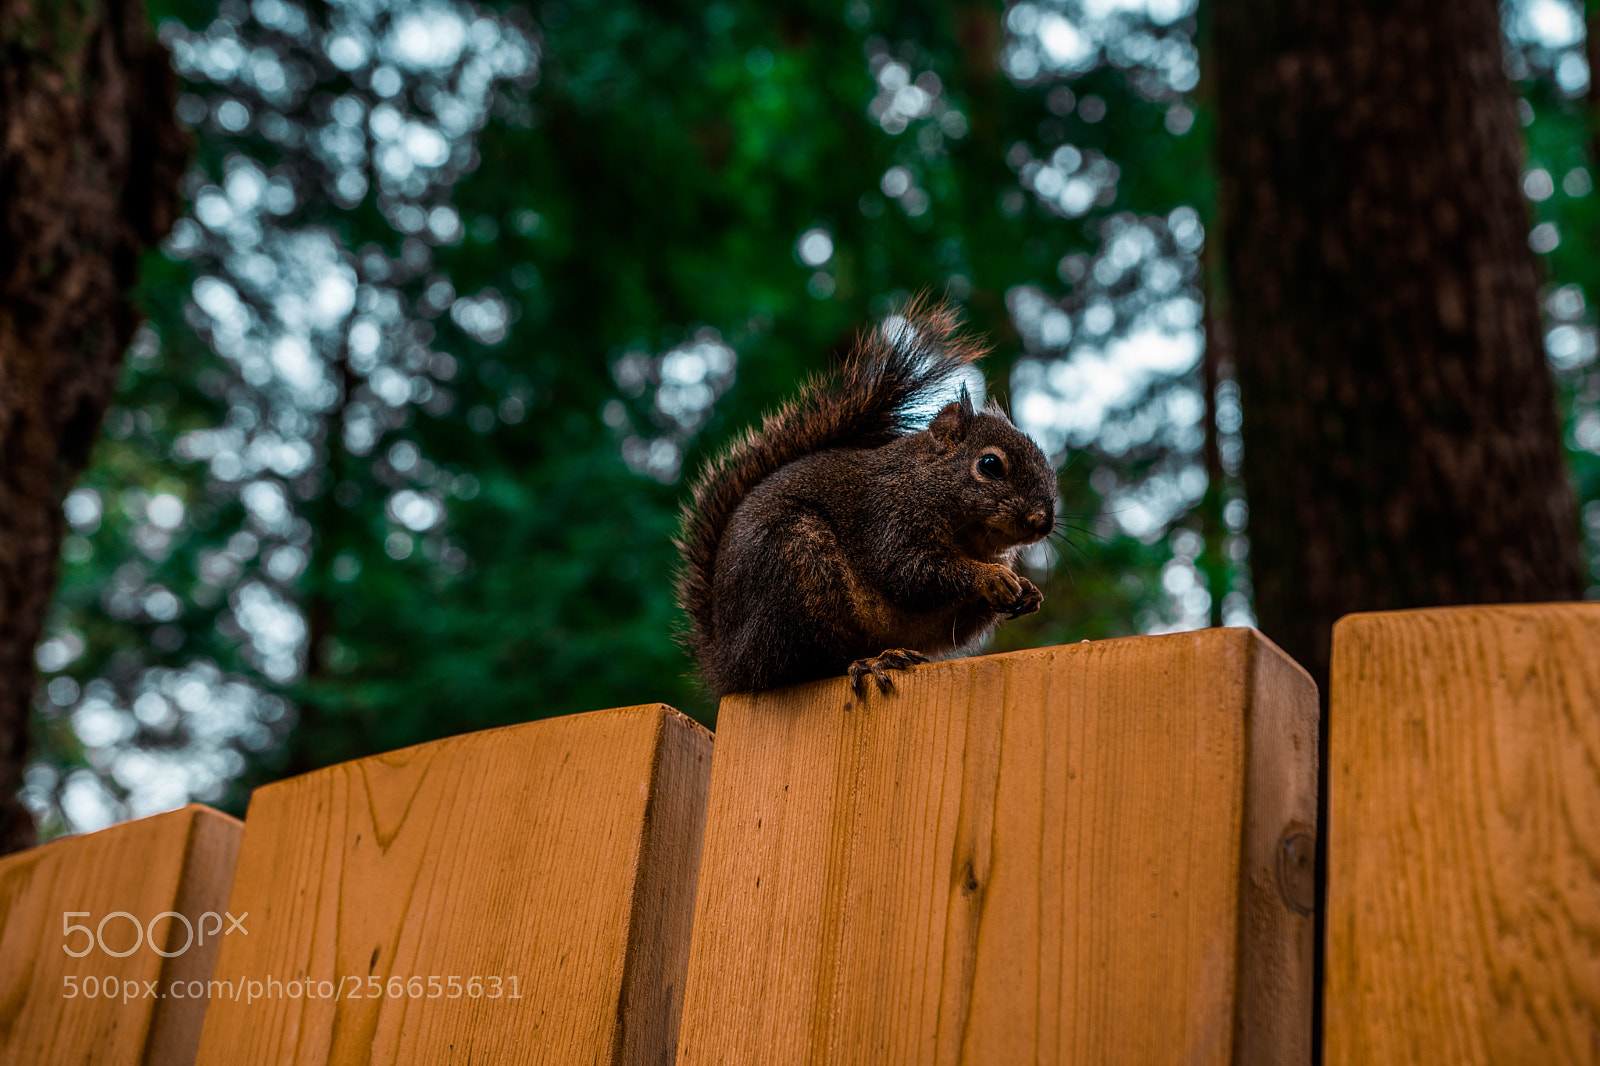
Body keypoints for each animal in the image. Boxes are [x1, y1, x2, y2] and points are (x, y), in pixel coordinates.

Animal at [675, 301, 1059, 698]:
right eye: (990, 464)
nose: (1042, 522)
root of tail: (729, 663)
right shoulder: (888, 517)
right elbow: (911, 573)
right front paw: (990, 576)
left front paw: (1029, 592)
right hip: (796, 569)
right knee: (802, 665)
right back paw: (871, 661)